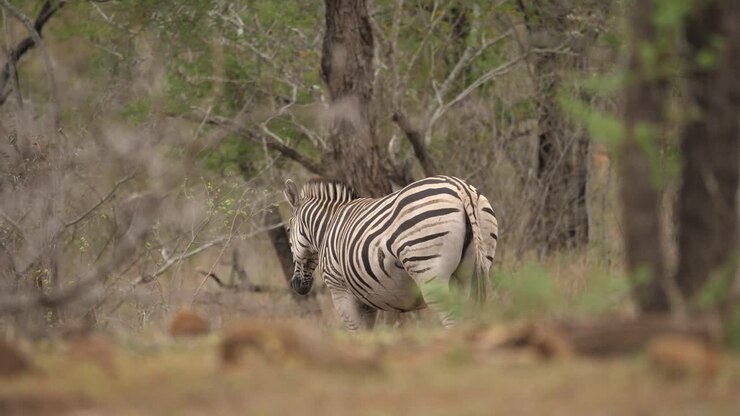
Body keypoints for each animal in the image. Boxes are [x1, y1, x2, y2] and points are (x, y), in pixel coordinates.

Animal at [283, 175, 498, 330]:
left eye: (287, 230)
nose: (297, 286)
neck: (327, 228)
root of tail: (460, 188)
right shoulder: (368, 301)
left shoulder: (341, 292)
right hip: (471, 270)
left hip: (428, 268)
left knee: (452, 320)